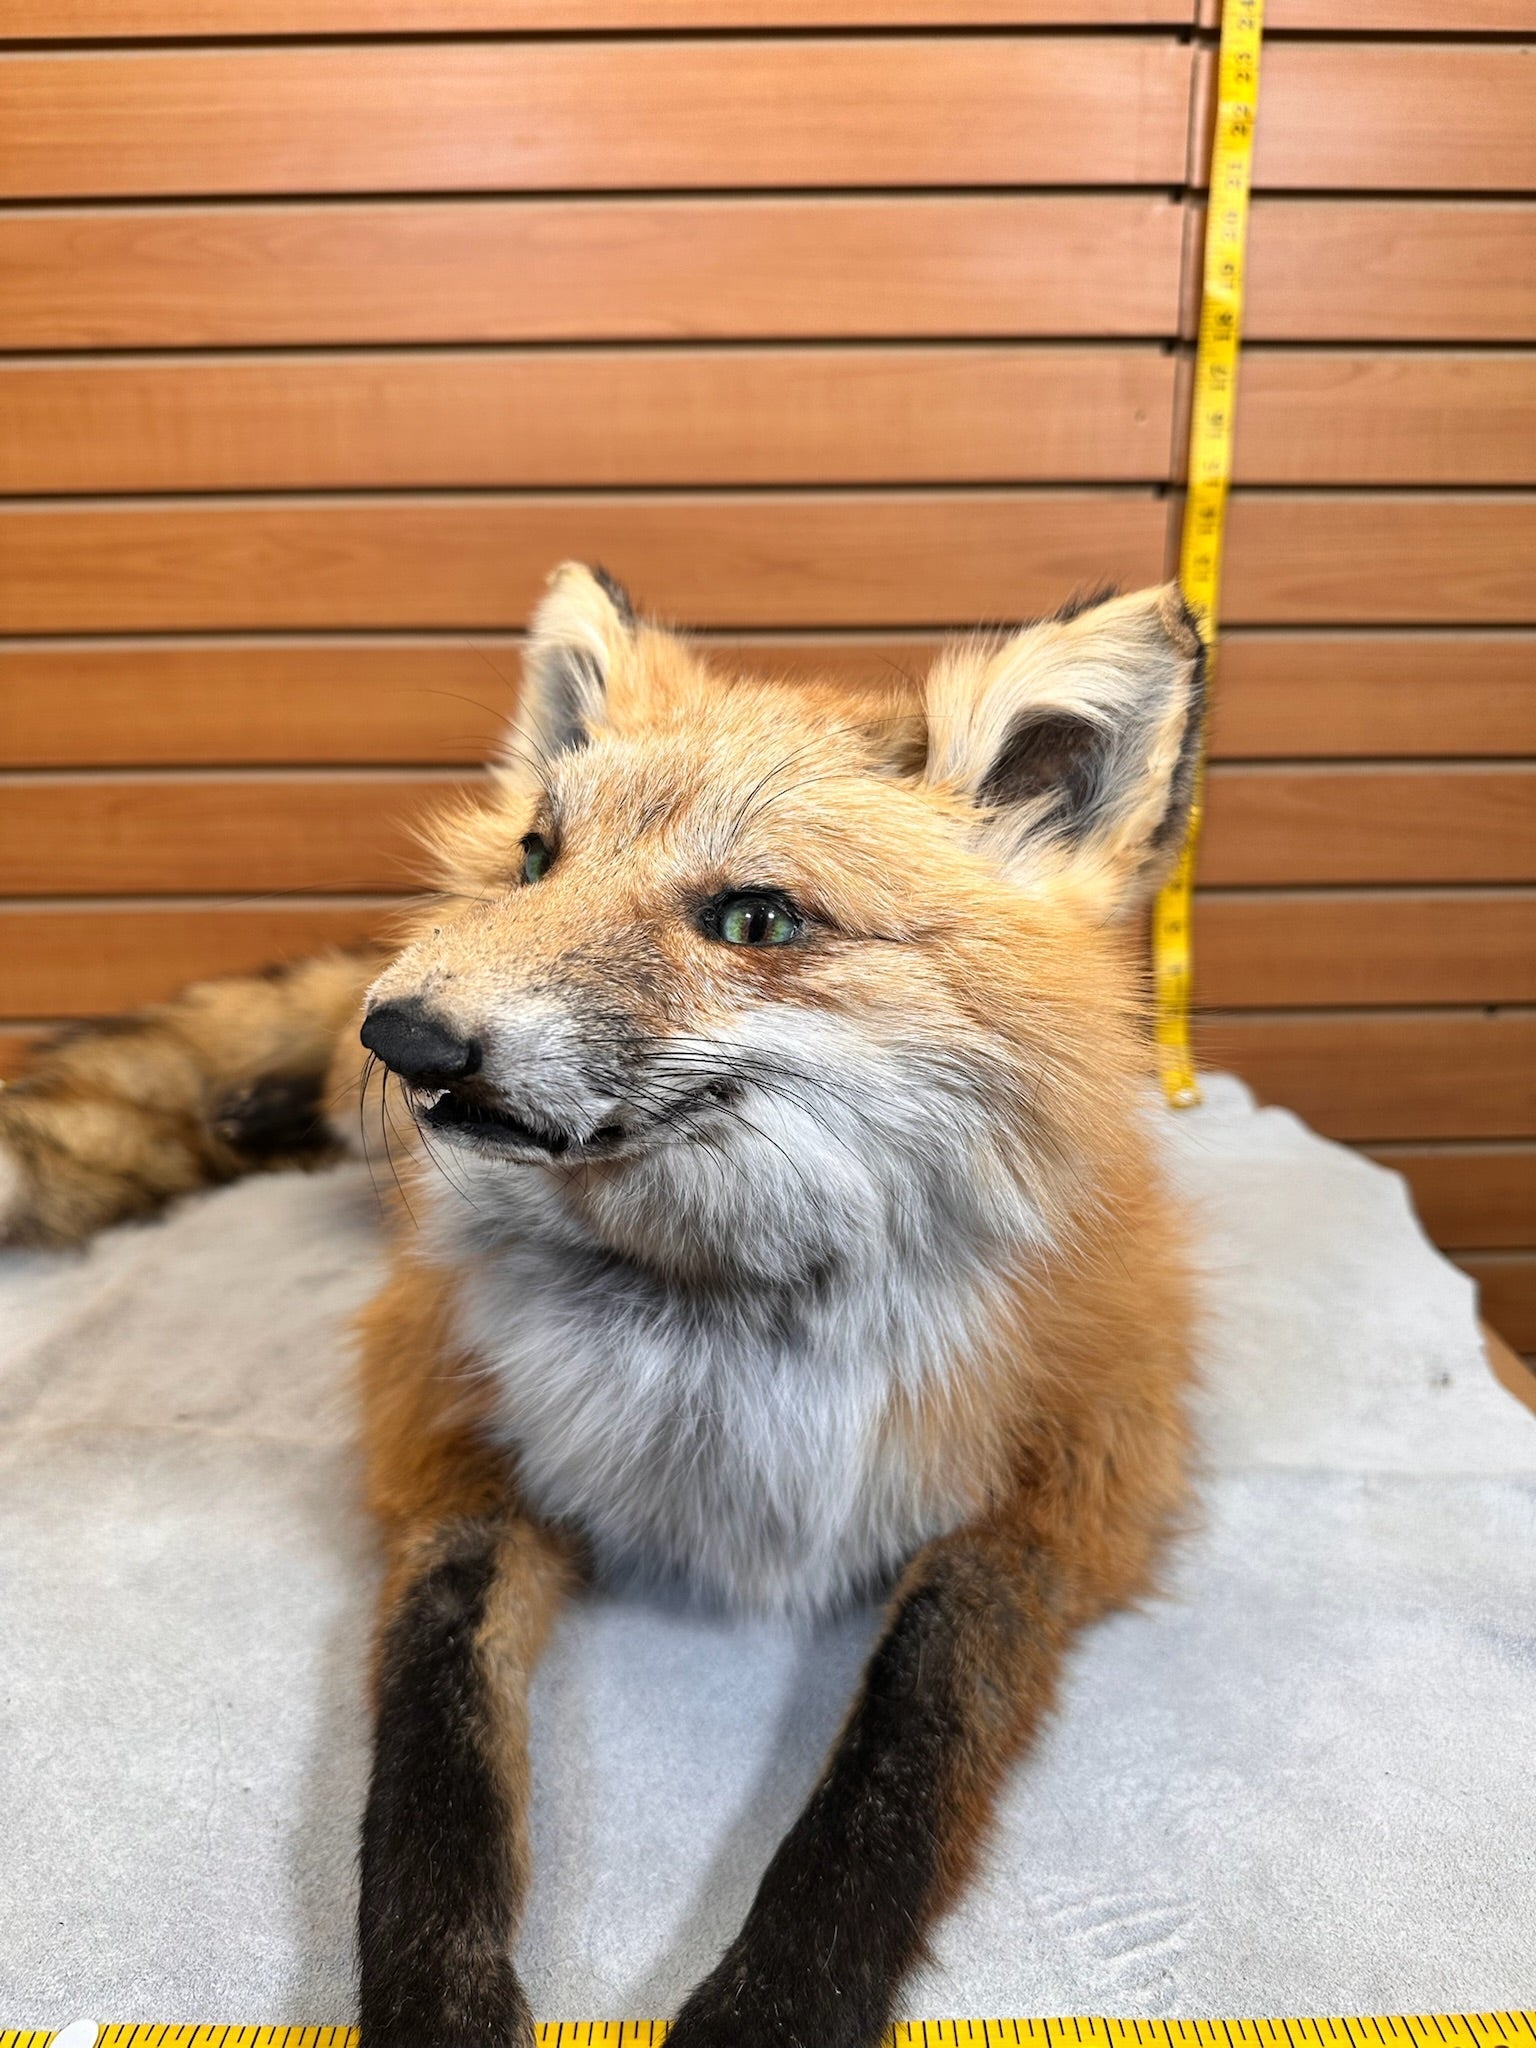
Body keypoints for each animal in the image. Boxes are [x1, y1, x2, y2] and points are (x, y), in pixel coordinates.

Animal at [0, 563, 1204, 2048]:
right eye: (537, 858)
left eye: (754, 920)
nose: (403, 1036)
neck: (720, 1324)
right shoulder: (454, 1452)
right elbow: (431, 1781)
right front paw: (438, 2008)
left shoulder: (1062, 1497)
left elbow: (890, 1773)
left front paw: (772, 2011)